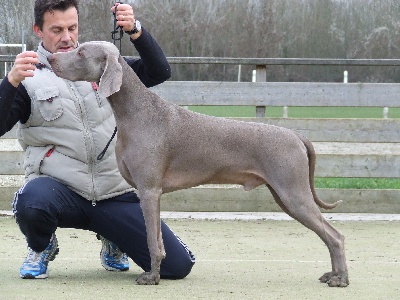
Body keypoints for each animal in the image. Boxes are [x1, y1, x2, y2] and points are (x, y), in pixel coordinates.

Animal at [48, 41, 348, 286]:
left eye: (81, 52)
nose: (50, 58)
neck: (136, 112)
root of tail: (296, 135)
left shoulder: (149, 190)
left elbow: (151, 240)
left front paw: (152, 277)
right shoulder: (152, 193)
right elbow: (158, 240)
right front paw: (157, 272)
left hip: (292, 192)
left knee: (335, 235)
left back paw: (341, 278)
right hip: (284, 195)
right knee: (328, 234)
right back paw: (333, 274)